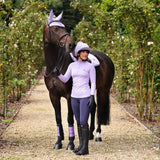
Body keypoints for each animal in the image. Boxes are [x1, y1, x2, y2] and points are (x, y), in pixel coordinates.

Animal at [43, 10, 114, 150]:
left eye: (64, 27)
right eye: (55, 28)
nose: (71, 44)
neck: (55, 65)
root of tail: (106, 58)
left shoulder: (69, 95)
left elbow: (70, 118)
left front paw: (70, 143)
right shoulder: (53, 95)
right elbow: (58, 118)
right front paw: (58, 142)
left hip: (103, 90)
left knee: (100, 109)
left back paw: (98, 135)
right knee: (93, 107)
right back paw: (90, 134)